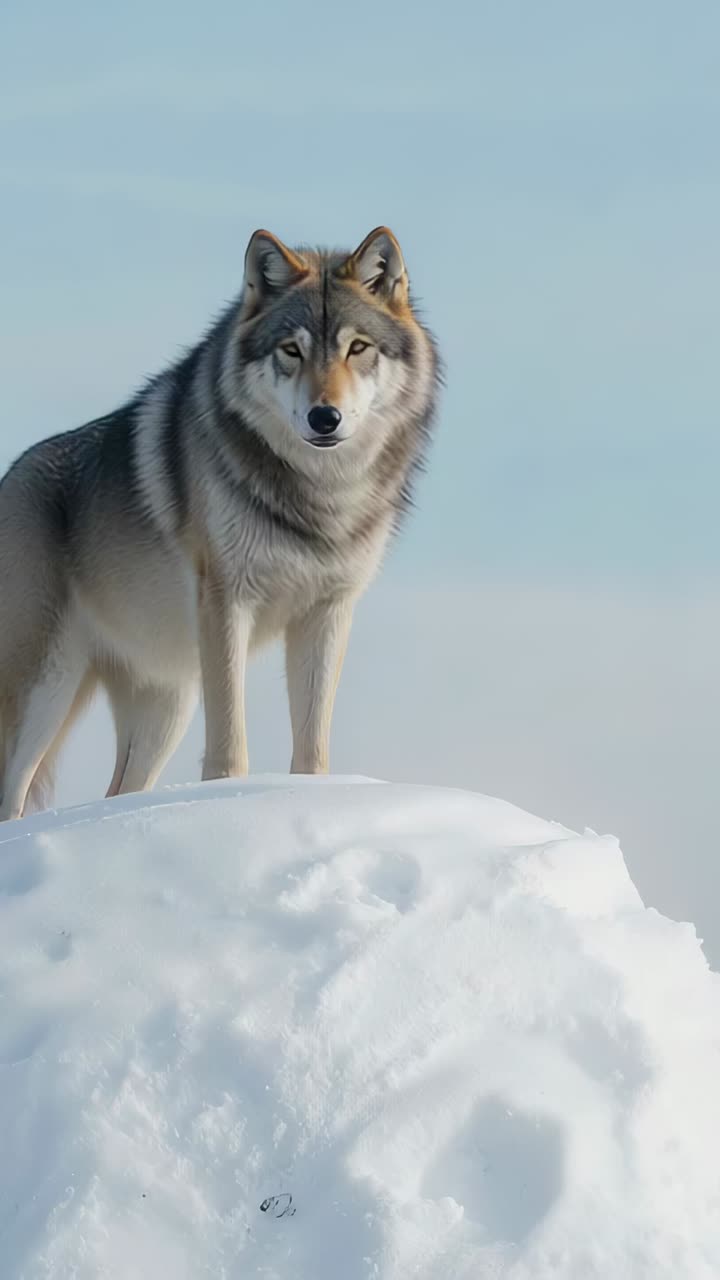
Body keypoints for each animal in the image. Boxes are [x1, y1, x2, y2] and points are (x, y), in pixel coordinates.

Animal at [0, 226, 440, 821]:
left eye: (358, 348)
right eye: (291, 350)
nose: (325, 418)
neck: (318, 495)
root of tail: (10, 476)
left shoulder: (327, 611)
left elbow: (312, 744)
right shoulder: (228, 600)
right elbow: (230, 738)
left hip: (166, 704)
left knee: (118, 792)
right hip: (47, 692)